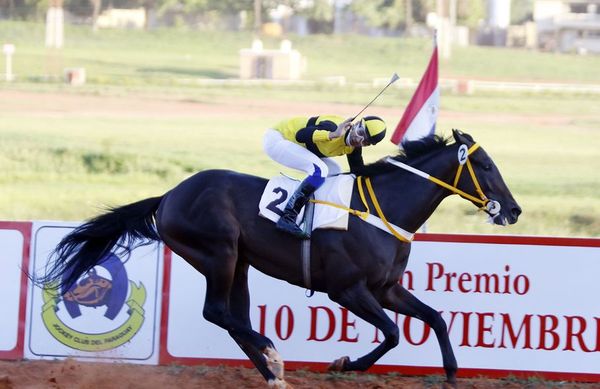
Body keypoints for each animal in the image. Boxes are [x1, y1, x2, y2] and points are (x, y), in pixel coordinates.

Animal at [41, 130, 520, 384]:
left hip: (239, 263)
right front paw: (345, 362)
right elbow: (392, 334)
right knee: (217, 312)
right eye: (487, 168)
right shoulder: (347, 290)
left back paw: (272, 372)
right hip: (218, 252)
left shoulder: (385, 288)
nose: (513, 210)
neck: (383, 208)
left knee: (232, 317)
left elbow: (435, 318)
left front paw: (453, 373)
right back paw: (272, 355)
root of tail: (169, 196)